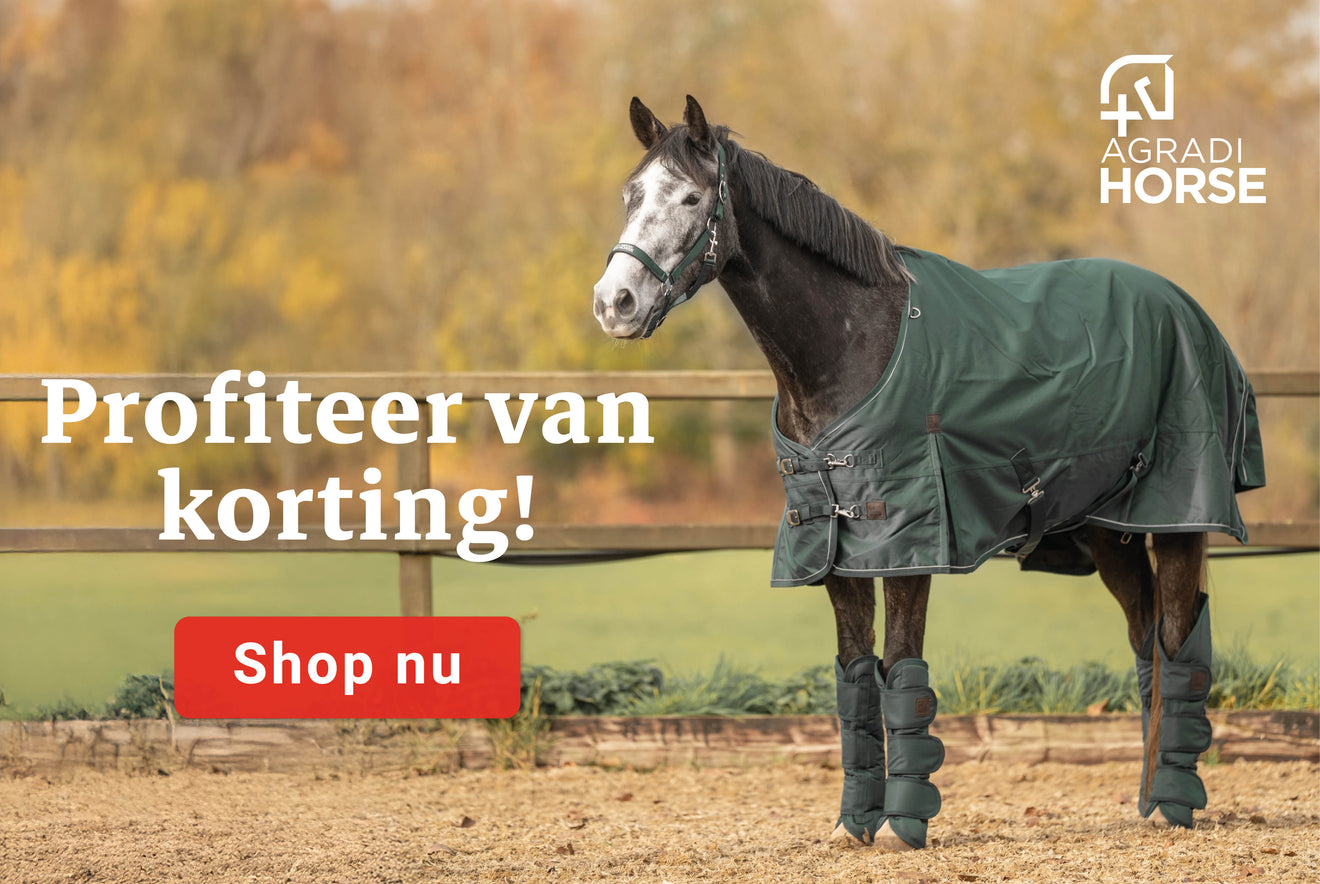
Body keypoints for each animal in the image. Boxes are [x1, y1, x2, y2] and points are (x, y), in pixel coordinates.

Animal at [592, 96, 1265, 852]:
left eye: (690, 197)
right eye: (630, 195)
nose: (613, 303)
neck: (852, 345)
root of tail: (1186, 309)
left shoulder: (908, 542)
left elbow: (901, 673)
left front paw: (902, 825)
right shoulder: (834, 549)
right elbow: (856, 680)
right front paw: (853, 824)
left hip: (1176, 517)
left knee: (1178, 643)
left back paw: (1174, 806)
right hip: (1108, 530)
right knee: (1146, 641)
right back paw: (1147, 803)